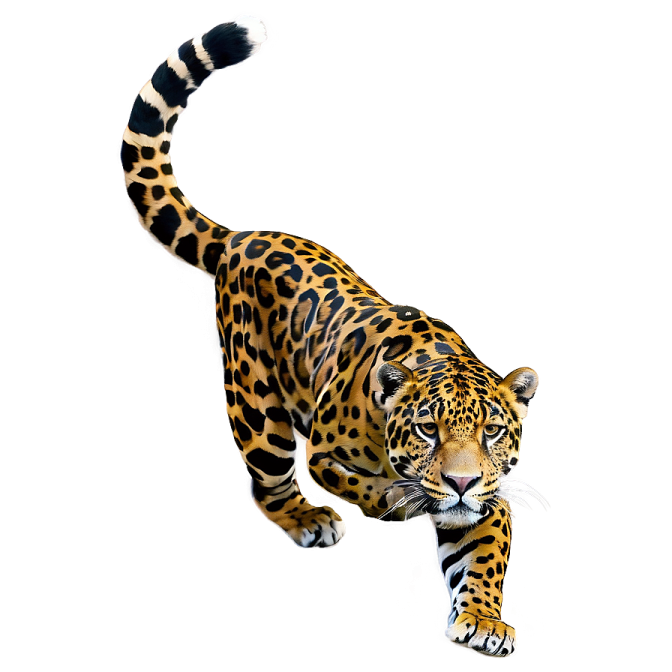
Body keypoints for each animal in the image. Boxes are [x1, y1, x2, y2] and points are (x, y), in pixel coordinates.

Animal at [119, 13, 550, 658]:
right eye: (428, 430)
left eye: (492, 433)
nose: (460, 481)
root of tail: (239, 236)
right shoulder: (326, 452)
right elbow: (363, 484)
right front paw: (394, 502)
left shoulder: (491, 497)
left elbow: (483, 557)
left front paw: (482, 620)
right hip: (262, 415)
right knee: (265, 483)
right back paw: (310, 519)